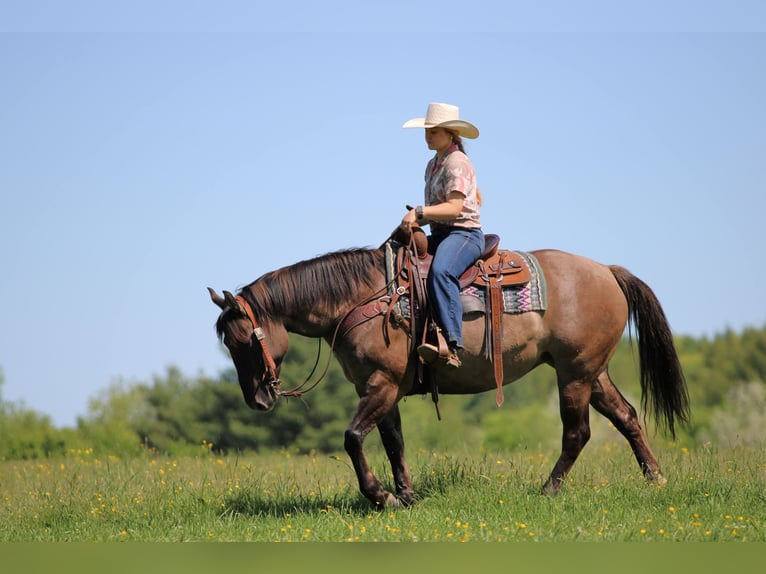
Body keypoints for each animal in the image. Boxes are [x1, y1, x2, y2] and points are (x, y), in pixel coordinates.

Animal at [209, 236, 689, 508]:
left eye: (241, 340)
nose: (258, 399)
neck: (365, 298)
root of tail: (608, 271)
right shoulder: (381, 389)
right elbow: (394, 443)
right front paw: (404, 496)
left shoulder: (381, 385)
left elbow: (352, 438)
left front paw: (380, 496)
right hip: (591, 372)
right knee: (626, 416)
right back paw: (656, 479)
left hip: (574, 374)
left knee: (578, 433)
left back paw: (548, 491)